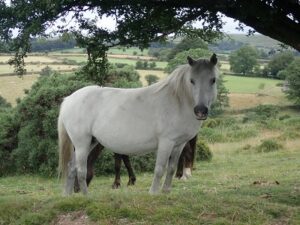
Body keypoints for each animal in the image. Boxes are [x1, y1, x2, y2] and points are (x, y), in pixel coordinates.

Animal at [58, 53, 218, 194]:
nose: (200, 111)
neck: (177, 101)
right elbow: (159, 169)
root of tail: (69, 99)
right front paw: (153, 193)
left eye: (213, 80)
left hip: (91, 141)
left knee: (72, 167)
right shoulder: (166, 143)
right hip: (82, 143)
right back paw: (85, 196)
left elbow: (171, 169)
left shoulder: (179, 144)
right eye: (192, 80)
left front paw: (166, 192)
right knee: (80, 170)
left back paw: (68, 196)